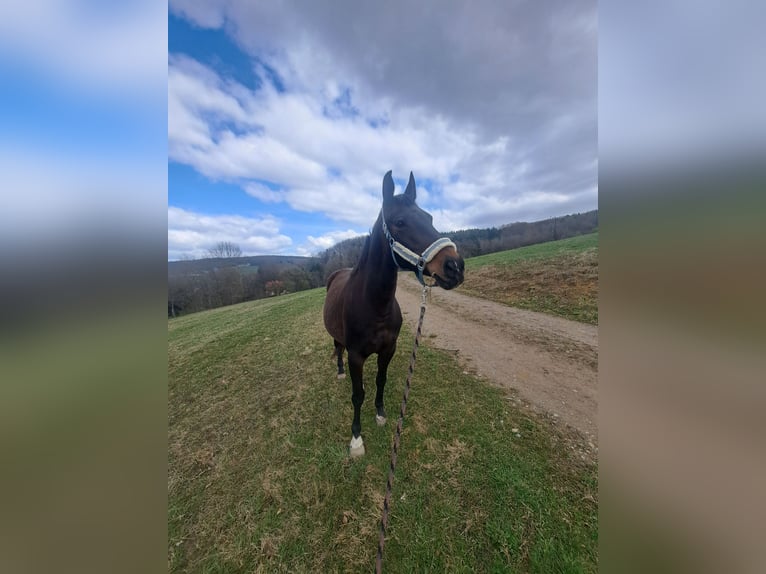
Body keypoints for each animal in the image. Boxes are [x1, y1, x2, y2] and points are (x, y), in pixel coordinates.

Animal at [323, 171, 465, 457]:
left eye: (429, 218)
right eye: (400, 222)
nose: (455, 266)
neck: (374, 306)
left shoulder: (389, 349)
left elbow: (381, 380)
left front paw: (380, 413)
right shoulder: (356, 356)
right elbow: (357, 395)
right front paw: (356, 439)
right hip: (339, 341)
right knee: (337, 348)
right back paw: (340, 371)